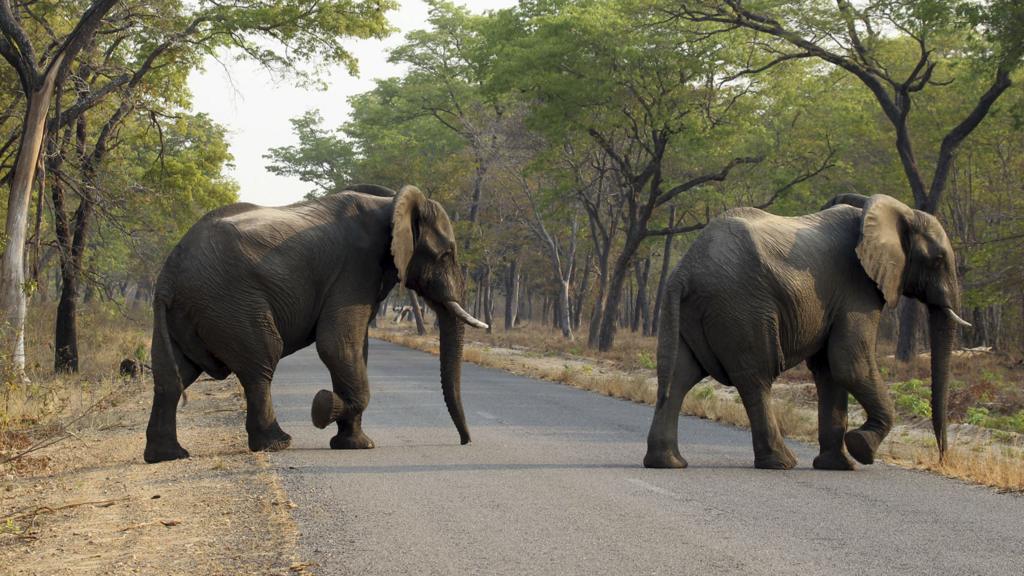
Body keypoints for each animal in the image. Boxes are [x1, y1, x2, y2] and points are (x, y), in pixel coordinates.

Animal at [145, 183, 491, 461]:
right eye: (446, 255)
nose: (465, 441)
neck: (391, 202)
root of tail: (169, 274)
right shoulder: (355, 268)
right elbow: (336, 345)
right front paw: (323, 408)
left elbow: (355, 348)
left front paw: (355, 444)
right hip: (230, 301)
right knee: (261, 363)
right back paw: (277, 444)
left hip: (189, 312)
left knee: (172, 377)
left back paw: (168, 456)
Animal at [643, 192, 970, 467]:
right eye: (938, 260)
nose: (942, 458)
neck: (893, 210)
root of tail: (684, 271)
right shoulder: (857, 288)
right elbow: (850, 364)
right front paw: (861, 448)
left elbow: (829, 370)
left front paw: (838, 466)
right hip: (740, 306)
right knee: (755, 377)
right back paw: (781, 462)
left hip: (695, 310)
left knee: (678, 376)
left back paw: (668, 462)